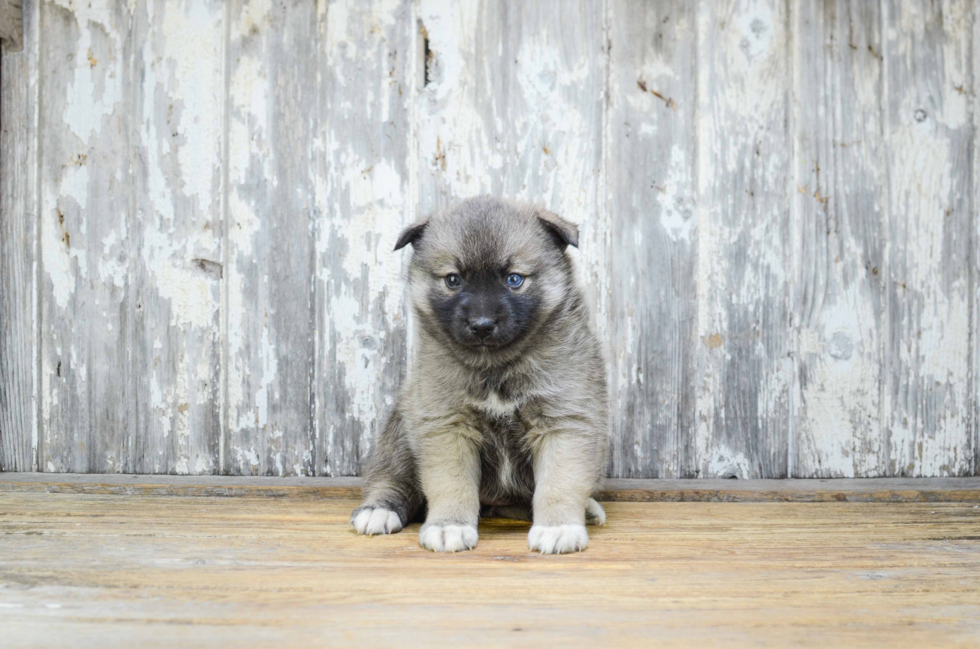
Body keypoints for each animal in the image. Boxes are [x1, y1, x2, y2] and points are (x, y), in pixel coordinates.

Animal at [348, 194, 608, 552]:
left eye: (514, 279)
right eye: (453, 279)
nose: (482, 325)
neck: (495, 366)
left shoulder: (563, 422)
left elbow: (559, 482)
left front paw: (558, 527)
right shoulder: (446, 425)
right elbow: (451, 483)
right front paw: (449, 525)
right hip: (402, 426)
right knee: (390, 477)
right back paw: (379, 509)